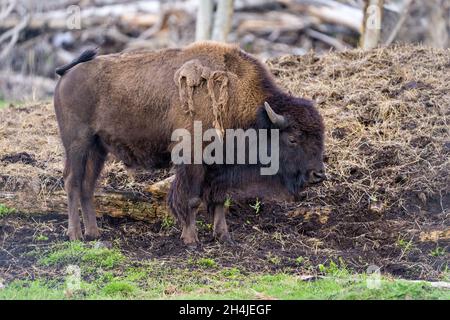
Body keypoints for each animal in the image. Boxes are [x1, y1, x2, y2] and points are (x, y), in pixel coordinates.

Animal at [54, 41, 326, 246]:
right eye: (292, 138)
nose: (318, 175)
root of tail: (67, 74)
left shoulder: (220, 165)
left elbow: (219, 198)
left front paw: (223, 236)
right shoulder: (193, 158)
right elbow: (192, 198)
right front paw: (191, 239)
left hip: (97, 149)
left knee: (87, 185)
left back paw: (93, 233)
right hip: (77, 144)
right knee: (72, 182)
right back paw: (75, 235)